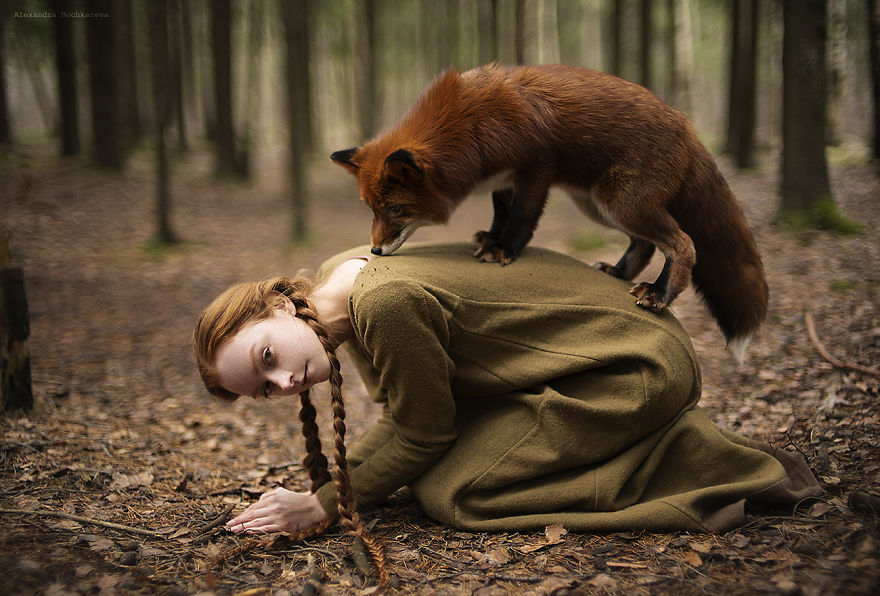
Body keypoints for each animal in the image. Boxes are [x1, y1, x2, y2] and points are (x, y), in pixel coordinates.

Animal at [330, 63, 768, 362]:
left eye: (395, 209)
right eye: (371, 209)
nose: (376, 251)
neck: (469, 123)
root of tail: (689, 128)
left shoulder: (537, 167)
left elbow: (522, 218)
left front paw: (504, 250)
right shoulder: (504, 179)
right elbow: (501, 213)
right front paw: (491, 238)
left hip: (621, 201)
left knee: (684, 244)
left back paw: (659, 294)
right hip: (599, 206)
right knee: (644, 244)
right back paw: (618, 272)